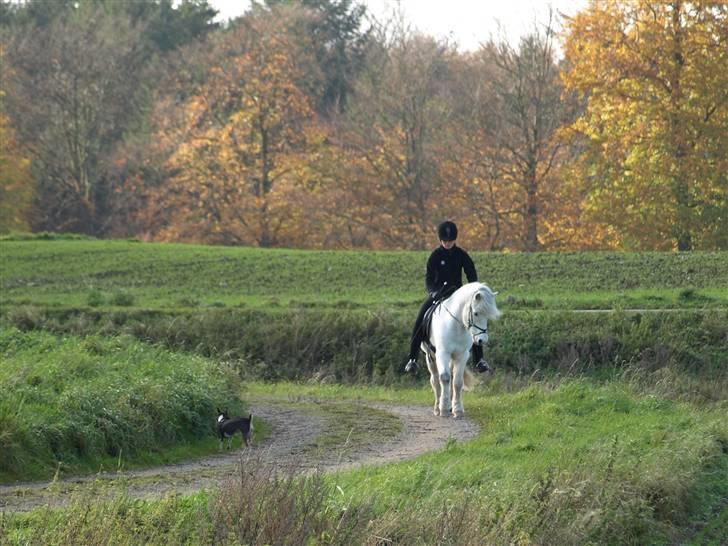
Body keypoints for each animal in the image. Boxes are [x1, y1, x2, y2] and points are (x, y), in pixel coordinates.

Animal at [420, 280, 500, 416]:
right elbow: (444, 378)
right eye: (476, 313)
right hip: (430, 356)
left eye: (487, 315)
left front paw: (457, 409)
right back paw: (437, 407)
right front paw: (444, 409)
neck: (456, 325)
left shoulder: (462, 355)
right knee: (435, 380)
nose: (482, 340)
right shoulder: (443, 354)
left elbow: (457, 382)